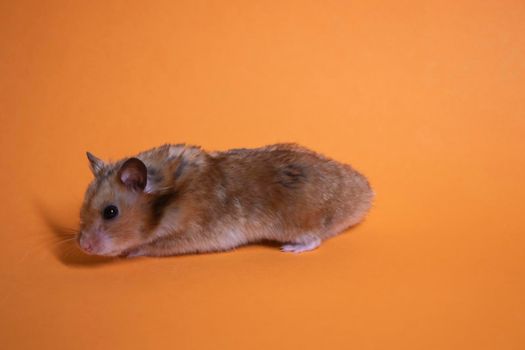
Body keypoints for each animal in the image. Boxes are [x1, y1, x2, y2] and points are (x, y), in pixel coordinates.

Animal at [77, 143, 372, 258]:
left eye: (110, 212)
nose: (82, 247)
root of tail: (367, 195)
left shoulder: (189, 235)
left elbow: (150, 246)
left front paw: (129, 252)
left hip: (299, 224)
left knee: (314, 239)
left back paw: (290, 249)